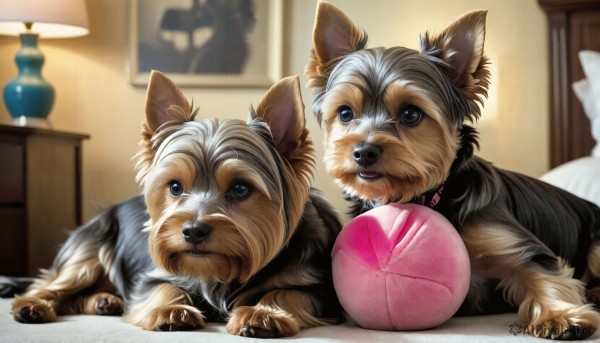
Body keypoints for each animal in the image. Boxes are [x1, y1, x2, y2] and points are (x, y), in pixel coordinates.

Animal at [8, 72, 342, 338]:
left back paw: (104, 301)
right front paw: (170, 311)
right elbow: (164, 287)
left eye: (240, 189)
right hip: (90, 248)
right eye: (175, 186)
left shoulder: (318, 287)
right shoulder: (156, 274)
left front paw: (263, 313)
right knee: (55, 283)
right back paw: (33, 305)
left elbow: (286, 291)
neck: (222, 271)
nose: (193, 230)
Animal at [308, 1, 596, 342]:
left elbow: (543, 270)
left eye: (410, 114)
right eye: (345, 113)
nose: (363, 151)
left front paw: (559, 316)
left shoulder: (514, 241)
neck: (426, 197)